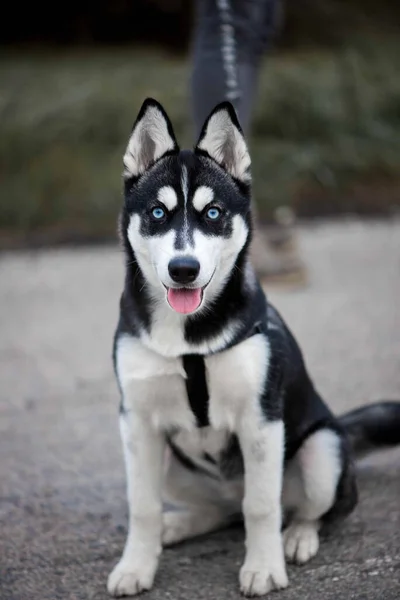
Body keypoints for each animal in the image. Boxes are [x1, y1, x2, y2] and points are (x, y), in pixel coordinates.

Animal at [108, 97, 400, 596]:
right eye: (158, 214)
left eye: (212, 214)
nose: (183, 269)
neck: (189, 338)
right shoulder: (137, 423)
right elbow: (141, 506)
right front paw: (136, 566)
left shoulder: (261, 422)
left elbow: (261, 507)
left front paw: (263, 566)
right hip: (172, 464)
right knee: (222, 510)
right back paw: (178, 524)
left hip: (322, 451)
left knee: (308, 510)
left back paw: (298, 537)